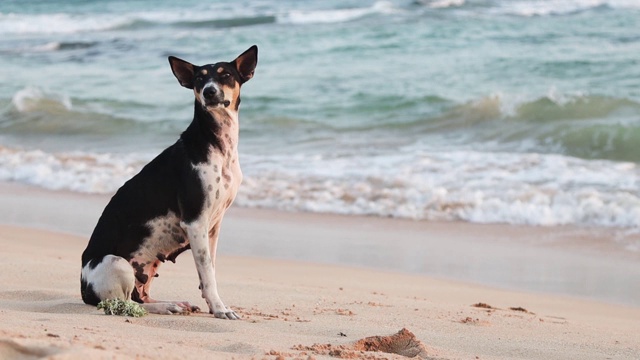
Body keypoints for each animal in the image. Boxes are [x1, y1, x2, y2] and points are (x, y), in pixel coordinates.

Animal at [80, 45, 258, 320]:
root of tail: (83, 288)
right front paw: (219, 309)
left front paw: (213, 305)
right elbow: (208, 274)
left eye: (225, 75)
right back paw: (166, 306)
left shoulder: (213, 227)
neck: (218, 145)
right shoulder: (195, 222)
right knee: (128, 304)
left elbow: (210, 270)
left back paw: (171, 303)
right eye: (199, 80)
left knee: (140, 297)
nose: (209, 91)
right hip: (117, 263)